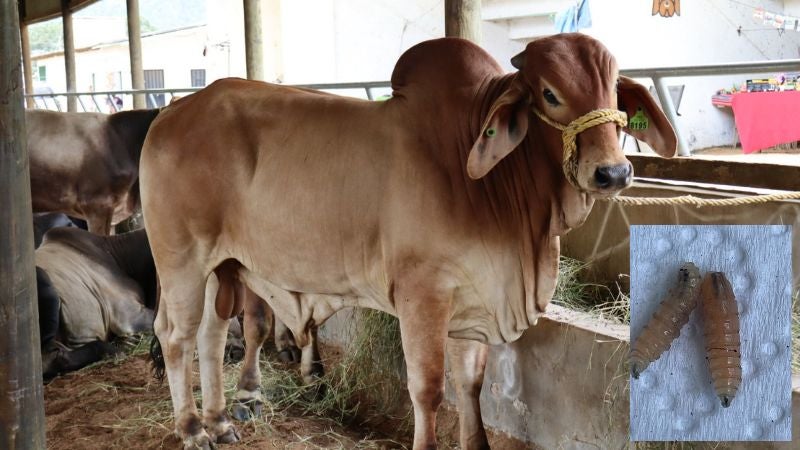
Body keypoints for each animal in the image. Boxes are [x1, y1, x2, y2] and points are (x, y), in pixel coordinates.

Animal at [139, 33, 676, 448]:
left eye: (615, 90)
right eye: (549, 93)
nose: (613, 172)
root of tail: (172, 111)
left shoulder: (471, 300)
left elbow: (471, 385)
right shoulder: (424, 294)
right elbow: (429, 389)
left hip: (220, 265)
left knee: (210, 337)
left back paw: (219, 421)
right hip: (182, 259)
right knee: (176, 336)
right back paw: (193, 429)